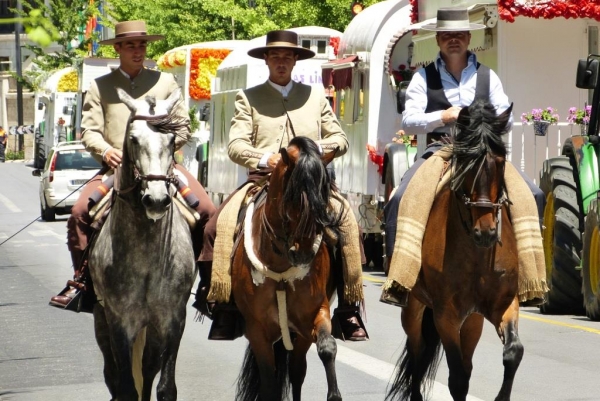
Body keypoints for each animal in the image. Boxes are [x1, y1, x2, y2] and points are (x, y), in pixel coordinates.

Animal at [88, 88, 195, 400]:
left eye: (171, 140)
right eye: (134, 139)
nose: (157, 200)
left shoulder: (173, 318)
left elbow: (165, 386)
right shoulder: (119, 321)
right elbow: (125, 387)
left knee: (148, 369)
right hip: (102, 319)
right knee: (112, 374)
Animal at [233, 135, 344, 400]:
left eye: (324, 196)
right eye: (293, 196)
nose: (303, 254)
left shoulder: (314, 315)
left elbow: (326, 348)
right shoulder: (257, 331)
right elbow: (269, 384)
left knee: (296, 371)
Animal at [386, 98, 524, 398]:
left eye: (500, 162)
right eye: (466, 164)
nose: (486, 232)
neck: (477, 255)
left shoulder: (504, 304)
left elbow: (513, 352)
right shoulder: (445, 316)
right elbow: (457, 379)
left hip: (472, 320)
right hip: (414, 308)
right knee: (417, 354)